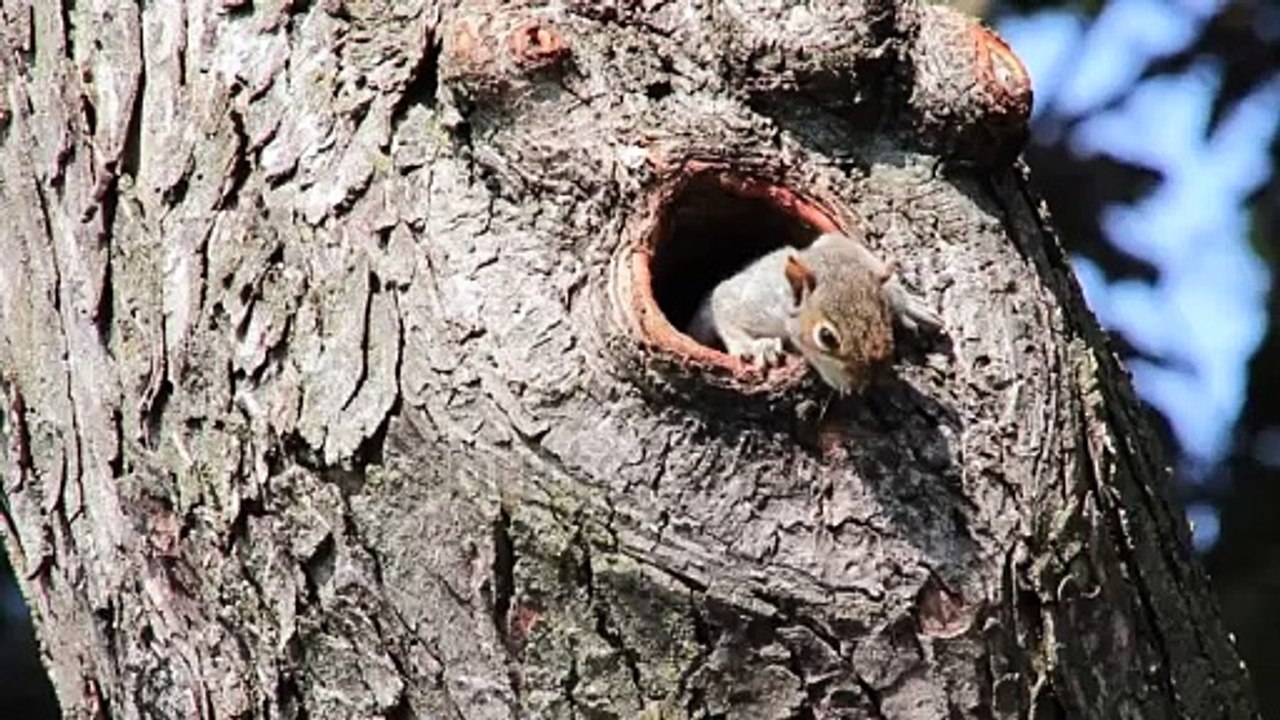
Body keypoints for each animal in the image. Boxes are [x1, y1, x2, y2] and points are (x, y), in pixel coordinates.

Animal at [686, 232, 943, 394]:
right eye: (826, 337)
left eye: (885, 318)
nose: (864, 385)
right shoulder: (756, 302)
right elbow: (723, 302)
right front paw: (759, 347)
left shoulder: (836, 245)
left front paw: (902, 301)